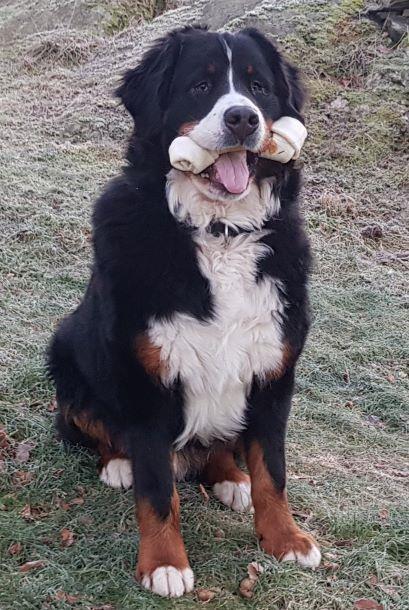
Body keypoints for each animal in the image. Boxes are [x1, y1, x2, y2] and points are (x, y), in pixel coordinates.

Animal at [48, 25, 320, 598]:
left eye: (258, 89)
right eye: (200, 86)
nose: (242, 118)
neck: (219, 232)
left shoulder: (273, 372)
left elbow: (273, 472)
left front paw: (285, 539)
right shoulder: (149, 381)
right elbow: (157, 491)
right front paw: (164, 564)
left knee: (222, 447)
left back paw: (231, 479)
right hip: (68, 349)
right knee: (91, 426)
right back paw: (118, 465)